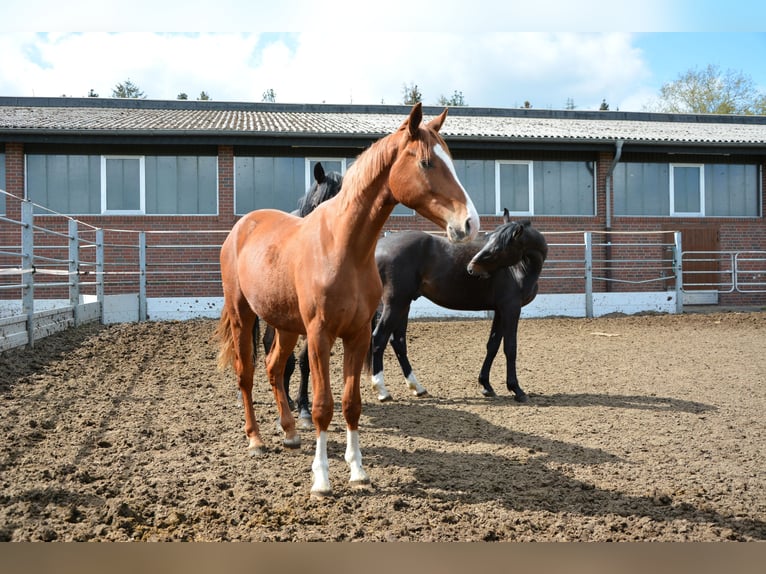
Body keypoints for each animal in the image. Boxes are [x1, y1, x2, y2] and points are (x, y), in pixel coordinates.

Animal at [370, 212, 544, 404]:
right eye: (491, 241)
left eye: (499, 247)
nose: (471, 267)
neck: (519, 269)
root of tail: (380, 247)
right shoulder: (511, 309)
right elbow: (510, 348)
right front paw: (517, 389)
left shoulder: (500, 310)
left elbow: (493, 345)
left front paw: (486, 385)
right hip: (395, 304)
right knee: (379, 338)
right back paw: (382, 390)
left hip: (403, 305)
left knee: (398, 342)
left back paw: (417, 388)